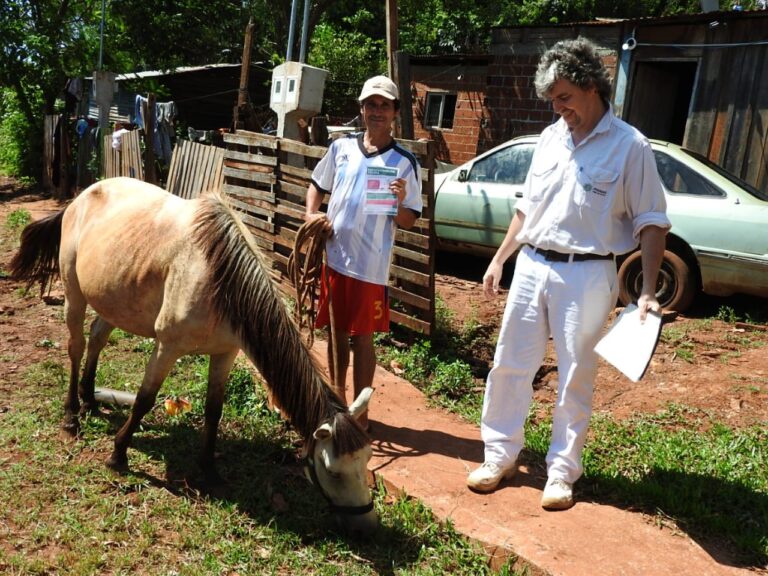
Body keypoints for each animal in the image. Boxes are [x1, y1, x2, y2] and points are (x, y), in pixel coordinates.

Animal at [10, 178, 382, 536]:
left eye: (366, 460)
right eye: (333, 472)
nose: (366, 527)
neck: (221, 278)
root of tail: (81, 197)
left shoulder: (225, 353)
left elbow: (213, 411)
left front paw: (209, 468)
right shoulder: (168, 347)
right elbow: (144, 399)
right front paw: (118, 455)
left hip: (113, 299)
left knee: (98, 338)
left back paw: (90, 398)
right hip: (74, 294)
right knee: (75, 346)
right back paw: (72, 415)